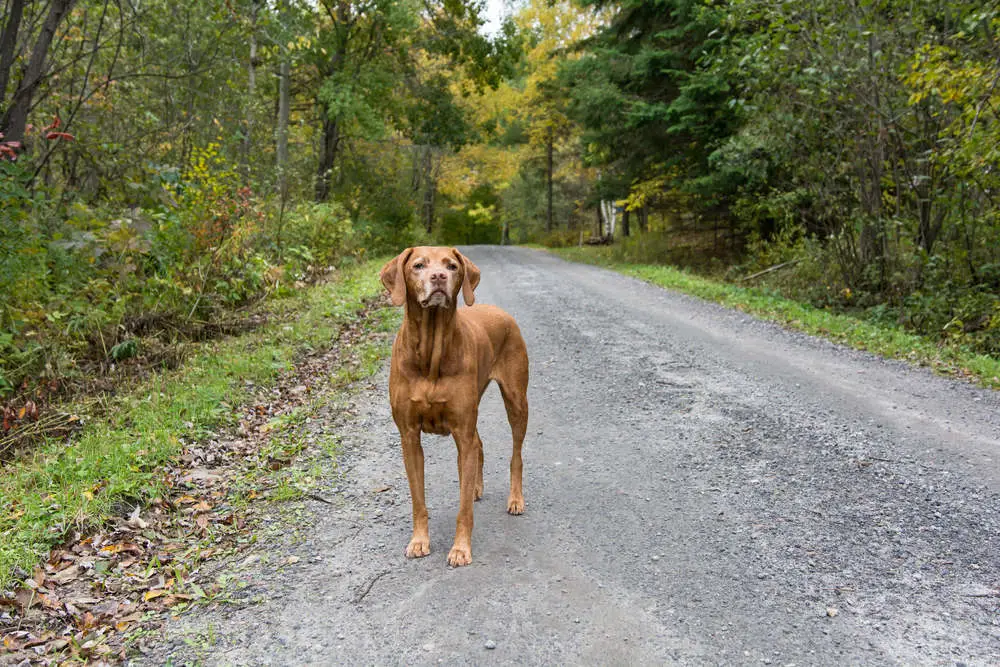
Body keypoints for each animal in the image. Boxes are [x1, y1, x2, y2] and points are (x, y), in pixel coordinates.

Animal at [376, 248, 532, 568]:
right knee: (479, 445)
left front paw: (461, 549)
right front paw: (419, 541)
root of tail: (501, 312)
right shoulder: (409, 436)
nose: (438, 277)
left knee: (516, 454)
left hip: (516, 400)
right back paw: (475, 488)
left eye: (451, 266)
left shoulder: (462, 430)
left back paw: (515, 499)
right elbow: (418, 500)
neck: (431, 354)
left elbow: (463, 511)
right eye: (418, 265)